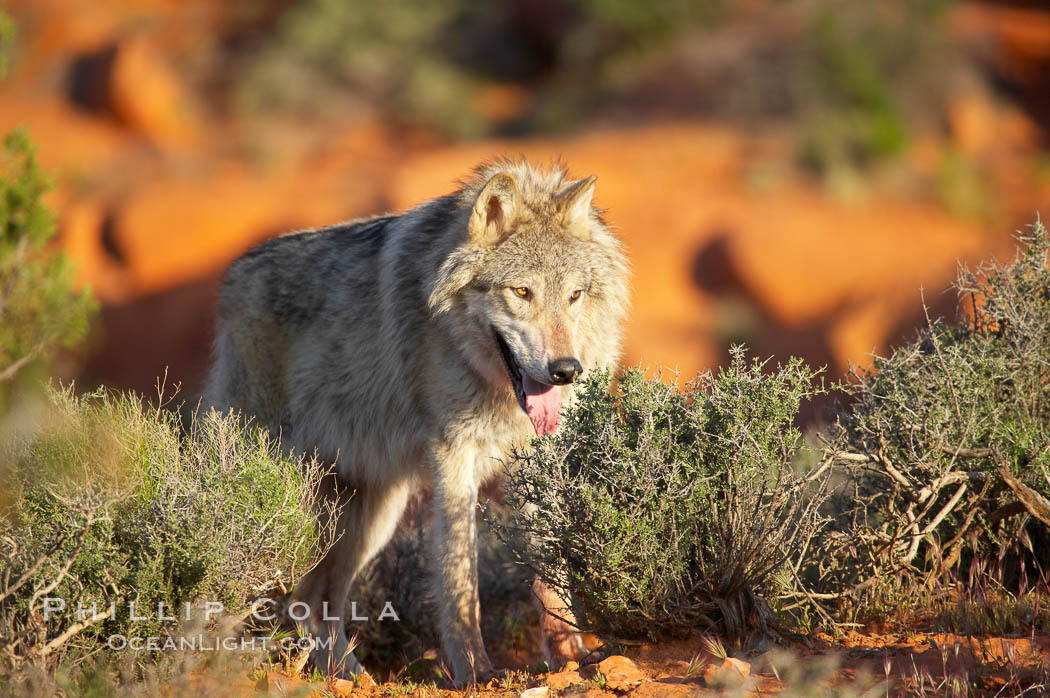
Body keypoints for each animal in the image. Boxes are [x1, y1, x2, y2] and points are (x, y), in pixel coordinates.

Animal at [205, 156, 630, 680]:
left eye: (574, 295)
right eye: (522, 292)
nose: (566, 370)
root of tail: (233, 276)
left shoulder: (537, 459)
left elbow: (551, 570)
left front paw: (572, 656)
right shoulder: (453, 455)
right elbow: (460, 578)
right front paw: (475, 672)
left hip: (368, 519)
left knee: (316, 602)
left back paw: (348, 675)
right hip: (292, 507)